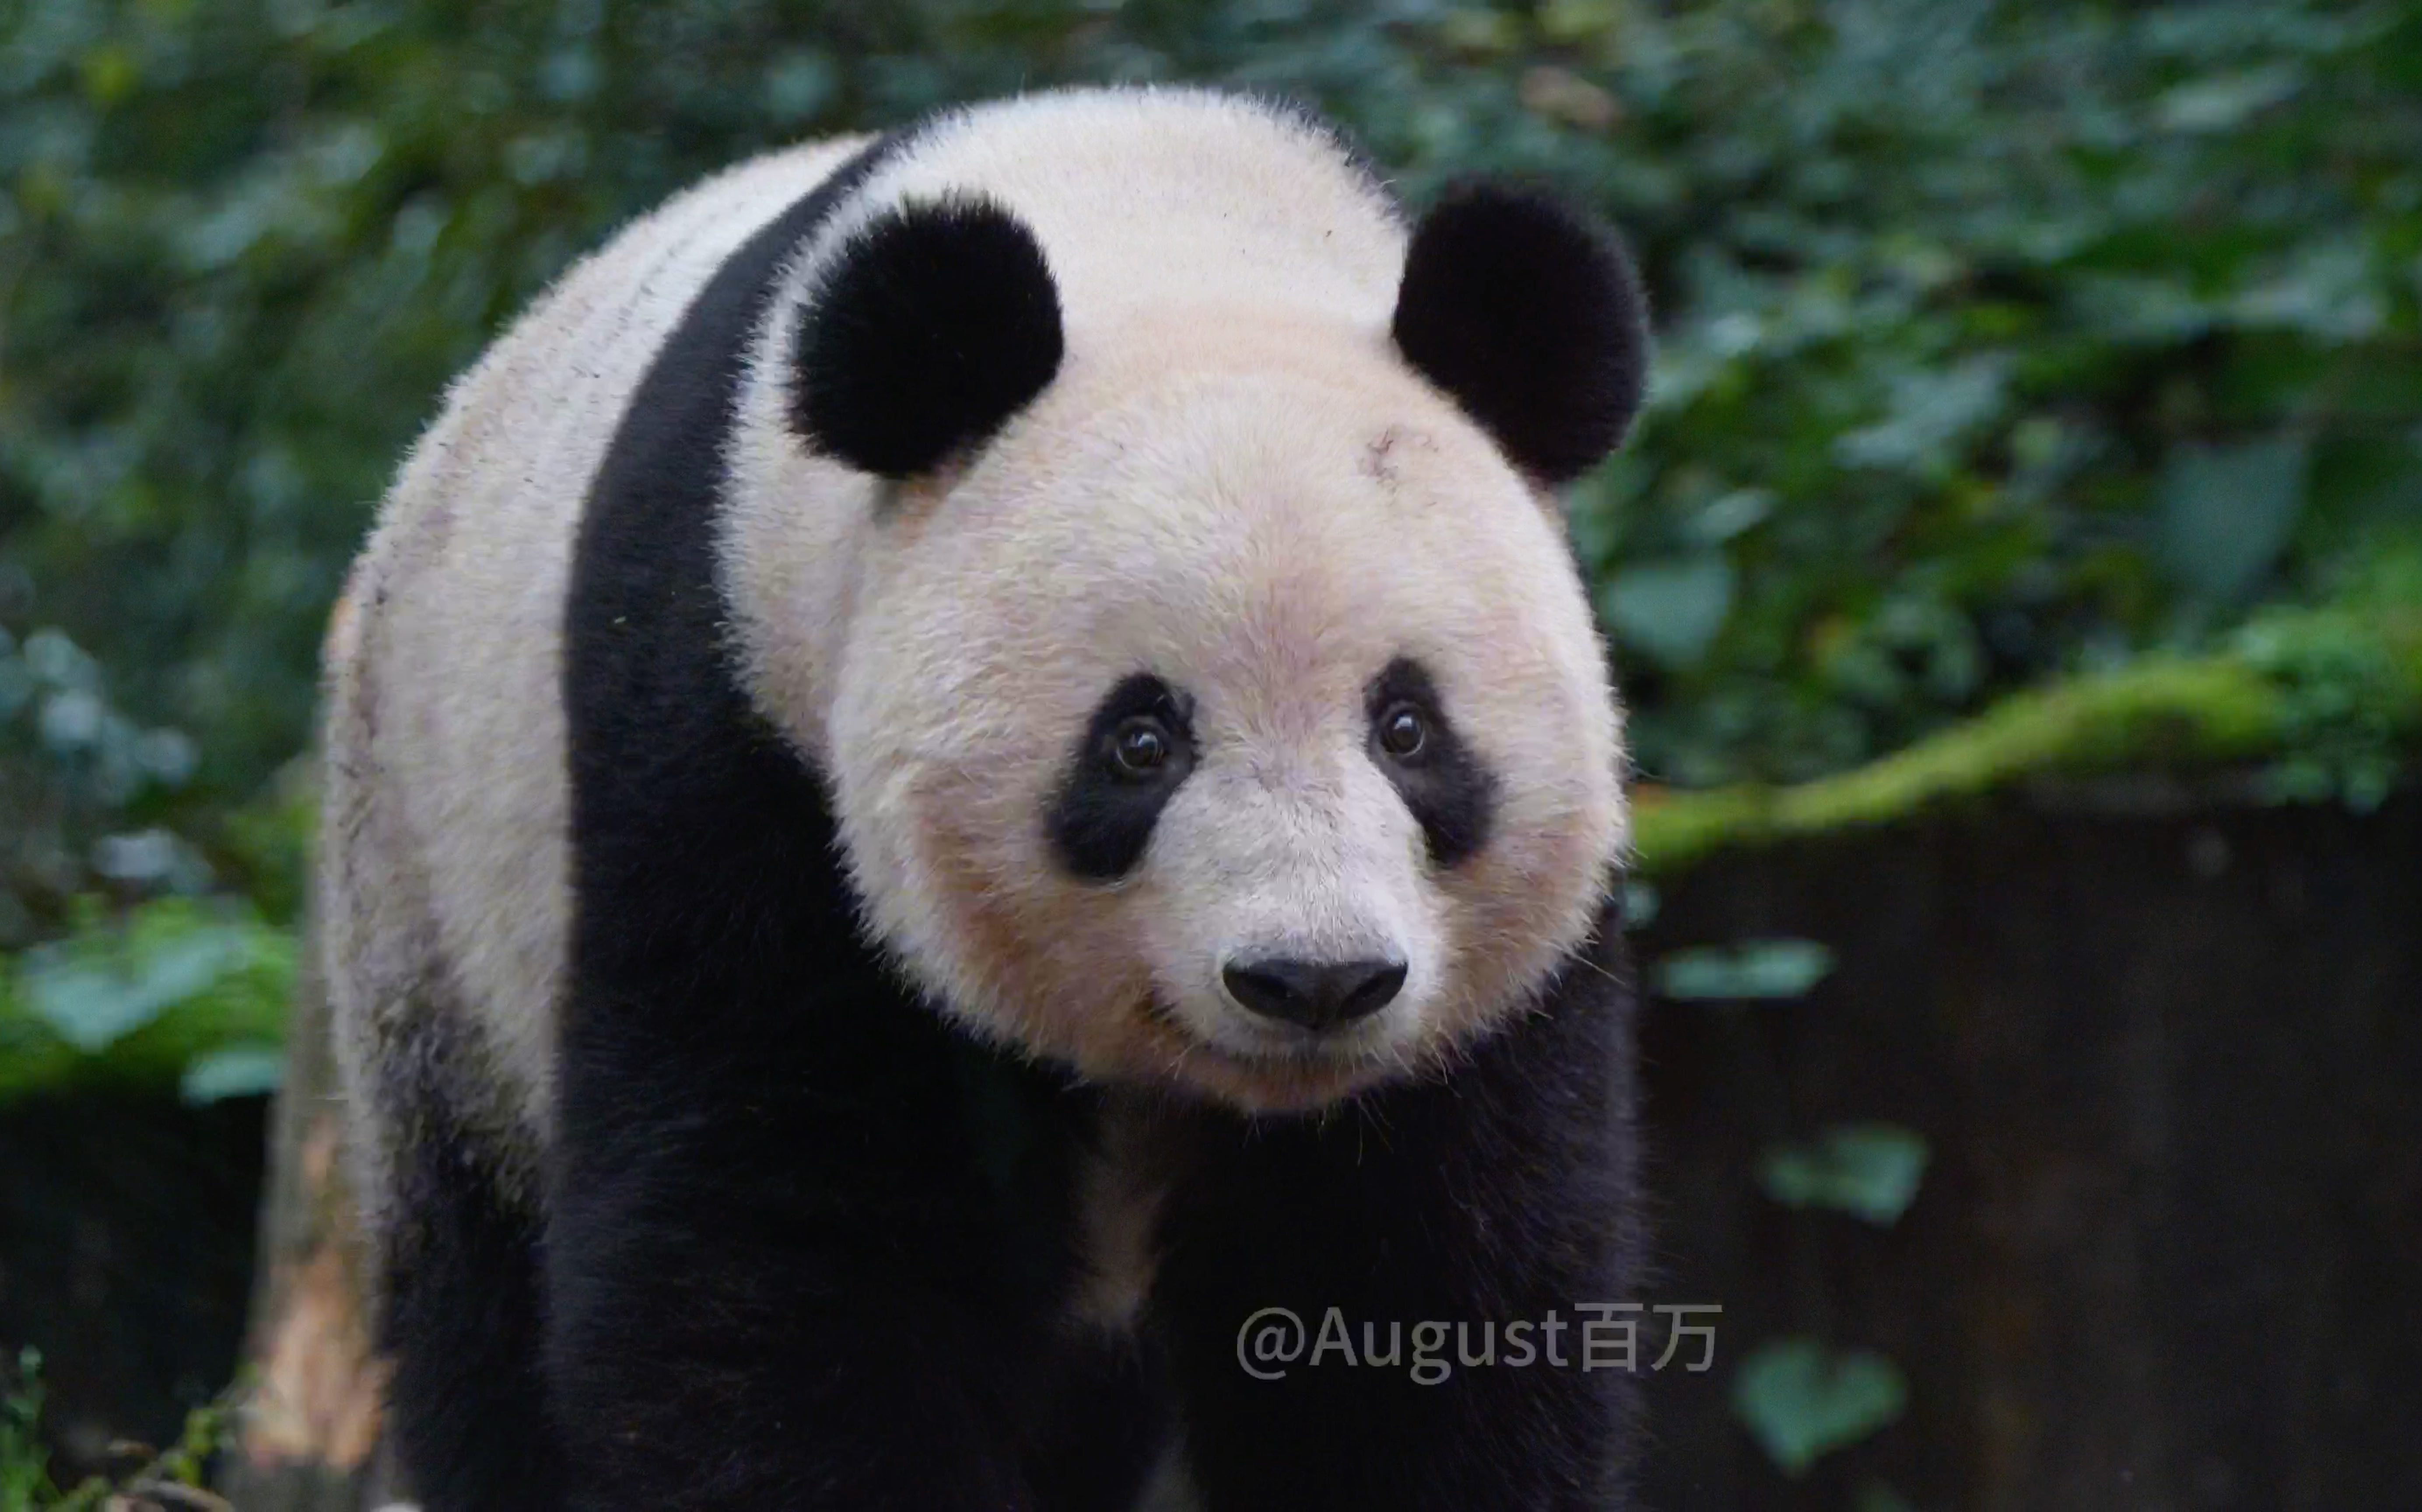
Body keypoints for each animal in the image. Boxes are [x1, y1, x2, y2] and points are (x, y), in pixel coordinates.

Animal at [317, 85, 1647, 1512]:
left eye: (1406, 728)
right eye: (1139, 742)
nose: (1315, 982)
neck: (1153, 214)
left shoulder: (1491, 999)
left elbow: (1418, 1294)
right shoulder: (734, 748)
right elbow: (777, 1247)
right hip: (427, 909)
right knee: (481, 1302)